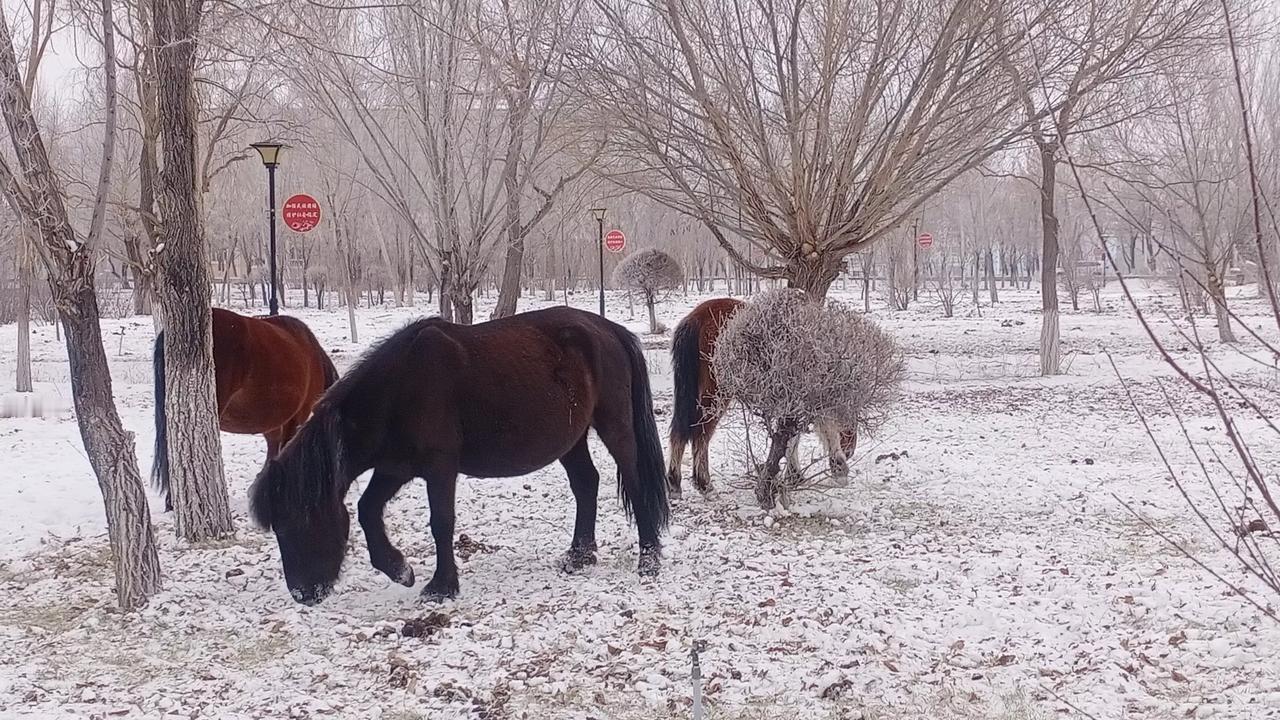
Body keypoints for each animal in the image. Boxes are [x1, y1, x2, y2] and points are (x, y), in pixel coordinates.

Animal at [247, 304, 670, 602]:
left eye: (297, 521)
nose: (303, 595)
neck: (400, 388)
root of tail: (608, 330)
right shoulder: (396, 467)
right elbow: (368, 510)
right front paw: (400, 569)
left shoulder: (439, 466)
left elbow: (441, 522)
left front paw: (441, 586)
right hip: (572, 437)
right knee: (586, 483)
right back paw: (579, 556)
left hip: (614, 425)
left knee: (633, 482)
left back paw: (649, 559)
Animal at [665, 295, 855, 491]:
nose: (849, 451)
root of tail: (697, 316)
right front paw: (837, 468)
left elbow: (791, 438)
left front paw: (795, 475)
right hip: (717, 395)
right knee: (701, 432)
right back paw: (704, 482)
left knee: (680, 431)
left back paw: (676, 480)